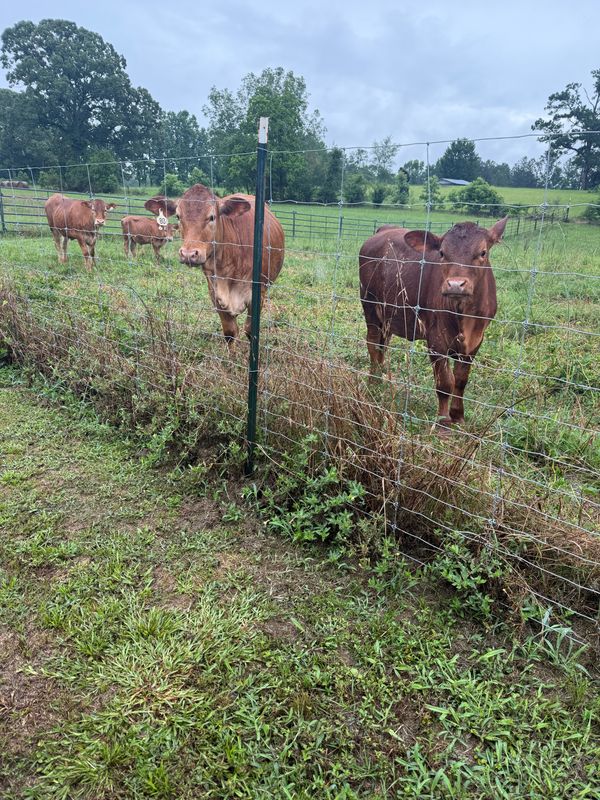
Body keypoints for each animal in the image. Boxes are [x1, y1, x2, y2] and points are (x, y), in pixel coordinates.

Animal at [177, 183, 285, 344]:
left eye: (212, 217)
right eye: (178, 216)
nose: (188, 254)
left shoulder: (258, 293)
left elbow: (250, 330)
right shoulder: (215, 293)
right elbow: (230, 333)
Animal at [359, 217, 508, 429]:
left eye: (483, 252)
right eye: (442, 253)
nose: (455, 285)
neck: (463, 317)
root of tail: (383, 231)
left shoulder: (476, 340)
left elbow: (461, 380)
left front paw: (458, 416)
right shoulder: (436, 339)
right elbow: (445, 383)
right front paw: (443, 421)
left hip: (388, 316)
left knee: (382, 345)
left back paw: (379, 380)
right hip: (370, 304)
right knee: (372, 344)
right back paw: (373, 384)